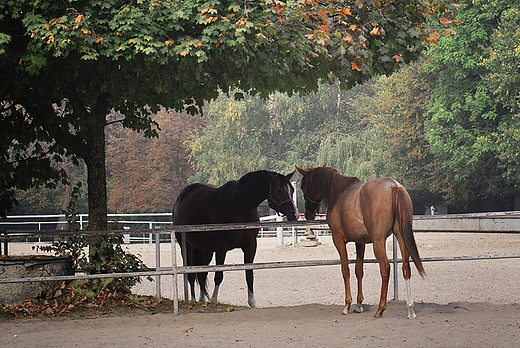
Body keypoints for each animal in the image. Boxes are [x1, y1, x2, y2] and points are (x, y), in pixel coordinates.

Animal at [174, 170, 298, 308]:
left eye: (292, 190)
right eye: (279, 190)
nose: (294, 214)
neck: (240, 205)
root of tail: (182, 196)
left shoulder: (250, 246)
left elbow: (249, 275)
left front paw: (252, 303)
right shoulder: (221, 248)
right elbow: (218, 275)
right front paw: (214, 299)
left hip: (205, 249)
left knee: (202, 273)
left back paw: (201, 300)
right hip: (186, 245)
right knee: (190, 274)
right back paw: (193, 300)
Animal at [294, 166, 424, 318]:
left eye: (303, 186)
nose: (308, 214)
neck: (338, 193)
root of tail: (394, 186)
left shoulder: (338, 240)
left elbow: (345, 270)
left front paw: (347, 305)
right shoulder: (360, 242)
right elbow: (359, 270)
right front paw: (358, 304)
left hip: (378, 241)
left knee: (385, 267)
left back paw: (380, 309)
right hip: (401, 236)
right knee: (406, 267)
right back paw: (410, 309)